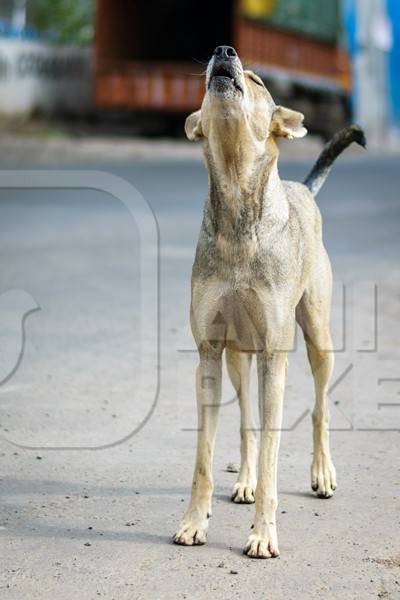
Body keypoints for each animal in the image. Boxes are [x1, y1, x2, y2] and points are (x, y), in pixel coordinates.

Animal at [173, 45, 368, 556]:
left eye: (259, 81)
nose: (223, 51)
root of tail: (302, 188)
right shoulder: (209, 354)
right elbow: (205, 456)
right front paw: (194, 522)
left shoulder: (274, 357)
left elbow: (273, 456)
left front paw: (263, 534)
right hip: (239, 358)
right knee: (247, 423)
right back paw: (244, 481)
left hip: (316, 336)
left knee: (318, 409)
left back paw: (322, 473)